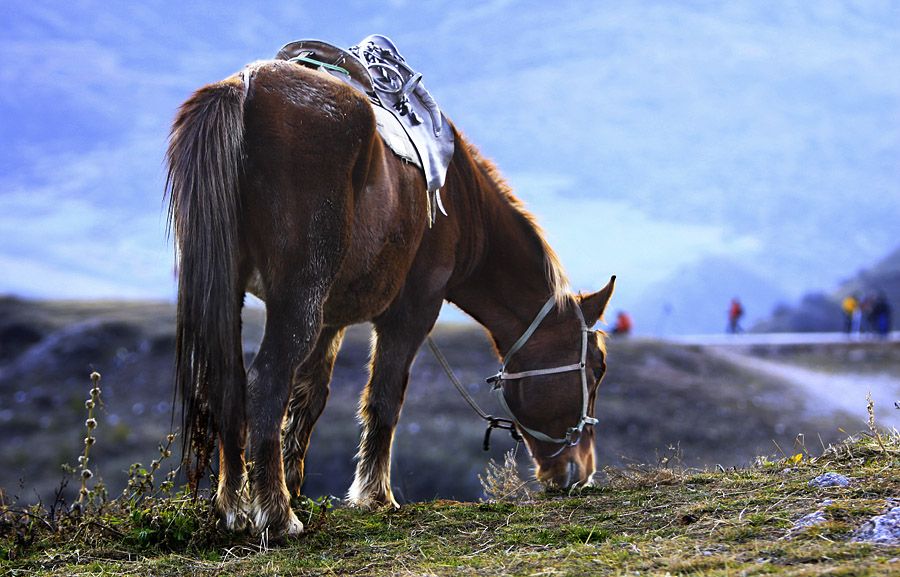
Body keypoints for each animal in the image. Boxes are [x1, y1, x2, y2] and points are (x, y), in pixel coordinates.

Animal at [166, 58, 615, 538]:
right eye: (597, 369)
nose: (579, 471)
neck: (461, 201)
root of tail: (242, 89)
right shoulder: (412, 312)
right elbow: (384, 399)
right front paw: (374, 496)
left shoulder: (331, 320)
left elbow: (309, 400)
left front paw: (298, 487)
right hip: (297, 301)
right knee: (265, 383)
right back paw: (276, 514)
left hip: (231, 294)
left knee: (227, 384)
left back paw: (232, 507)